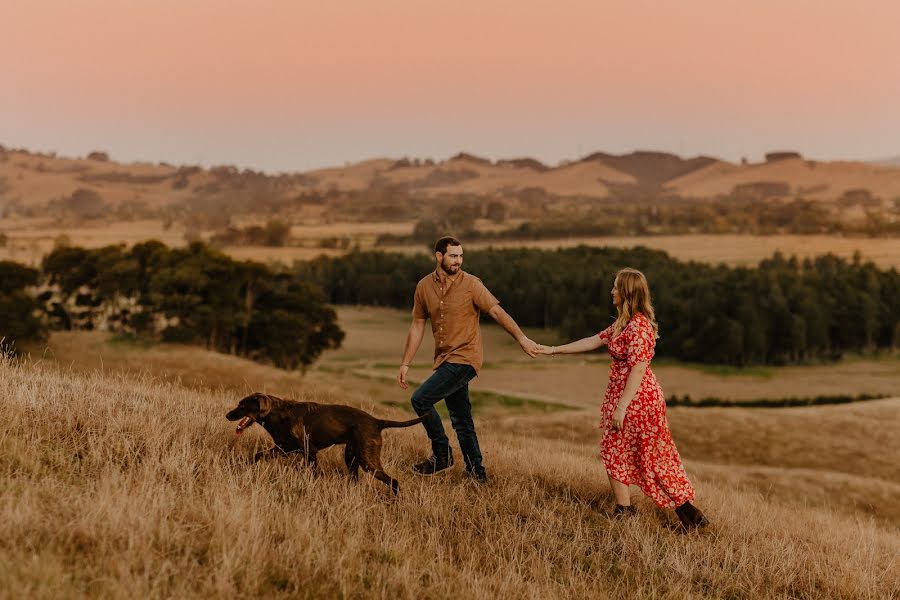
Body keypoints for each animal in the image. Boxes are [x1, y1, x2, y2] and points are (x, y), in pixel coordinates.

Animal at [223, 392, 424, 494]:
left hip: (367, 461)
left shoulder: (309, 451)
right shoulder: (283, 448)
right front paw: (244, 466)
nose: (227, 415)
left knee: (394, 481)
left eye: (243, 406)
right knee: (356, 480)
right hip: (351, 458)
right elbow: (258, 455)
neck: (277, 414)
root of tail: (377, 421)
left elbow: (314, 473)